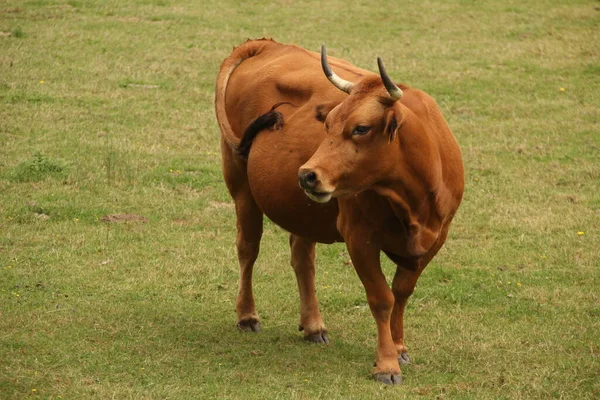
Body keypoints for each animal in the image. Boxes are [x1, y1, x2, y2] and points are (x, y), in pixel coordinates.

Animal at [216, 38, 464, 384]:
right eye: (328, 124)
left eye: (361, 128)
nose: (307, 175)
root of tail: (268, 45)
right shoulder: (359, 237)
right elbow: (382, 299)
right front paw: (387, 364)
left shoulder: (436, 237)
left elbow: (402, 292)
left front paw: (400, 347)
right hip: (242, 187)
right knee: (247, 250)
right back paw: (247, 316)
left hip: (302, 211)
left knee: (302, 258)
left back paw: (313, 325)